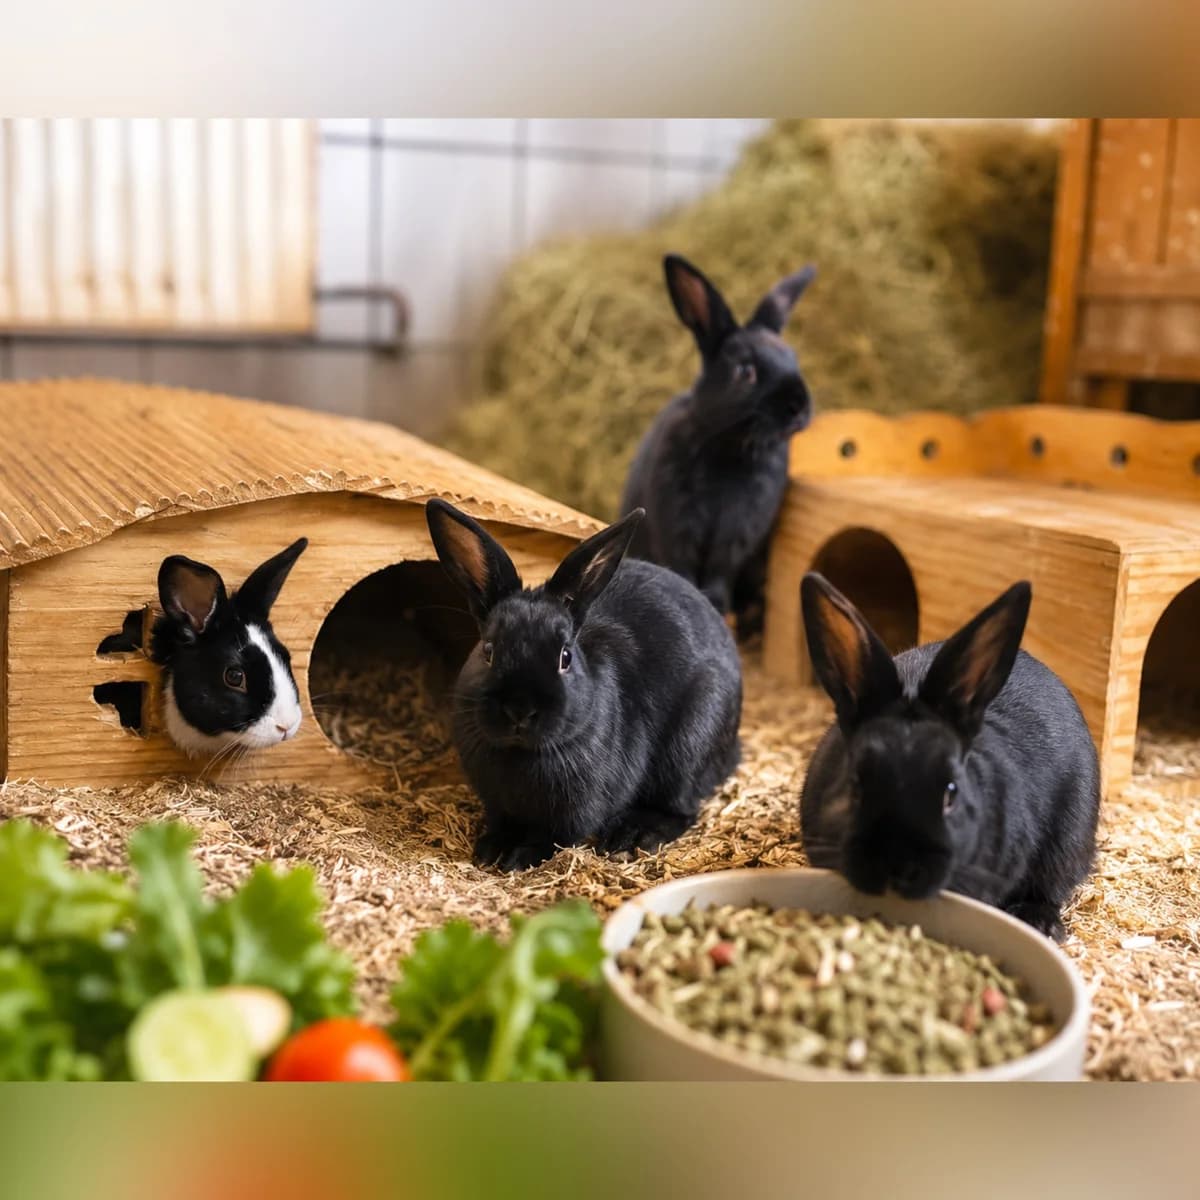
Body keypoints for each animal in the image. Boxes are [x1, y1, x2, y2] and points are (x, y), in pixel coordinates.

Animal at [425, 498, 743, 871]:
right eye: (488, 650)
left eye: (565, 657)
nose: (520, 710)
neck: (521, 754)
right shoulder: (498, 804)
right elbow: (504, 824)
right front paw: (493, 849)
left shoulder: (574, 812)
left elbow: (554, 837)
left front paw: (519, 858)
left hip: (690, 743)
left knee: (682, 809)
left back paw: (632, 836)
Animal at [620, 253, 816, 637]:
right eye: (745, 371)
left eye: (795, 361)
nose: (799, 406)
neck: (730, 447)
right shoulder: (677, 527)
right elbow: (681, 568)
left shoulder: (734, 538)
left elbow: (719, 576)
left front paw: (719, 609)